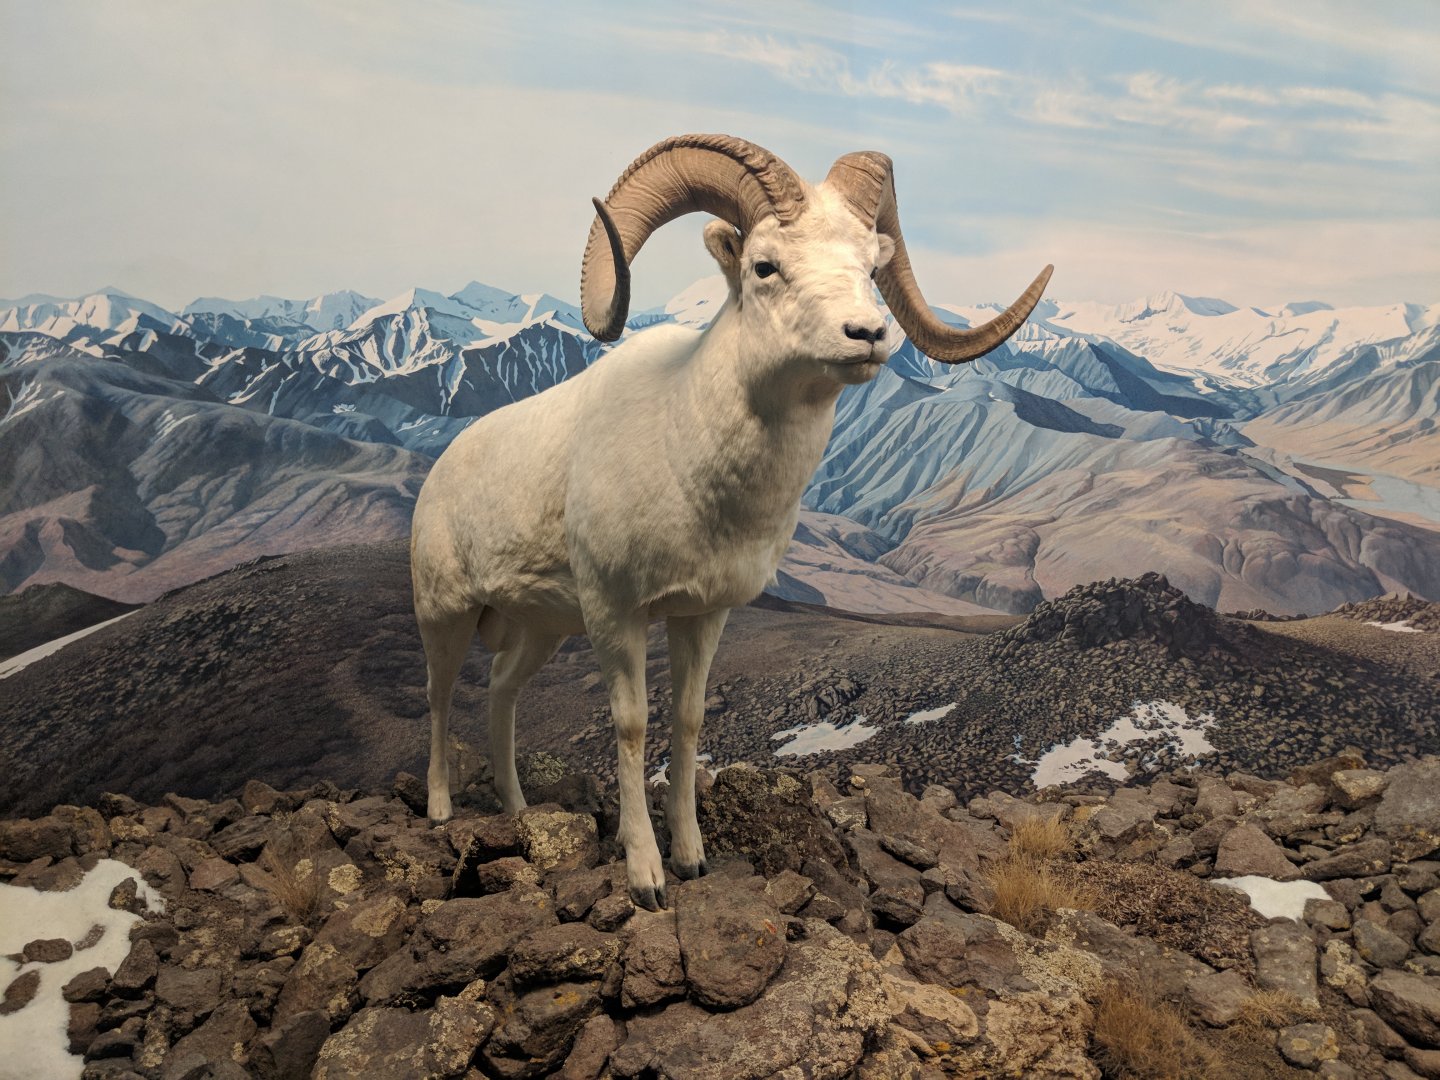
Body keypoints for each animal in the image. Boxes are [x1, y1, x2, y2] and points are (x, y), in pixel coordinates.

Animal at [410, 134, 1052, 909]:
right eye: (765, 265)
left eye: (871, 265)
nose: (869, 334)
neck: (684, 451)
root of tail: (443, 467)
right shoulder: (615, 614)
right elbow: (632, 726)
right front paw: (646, 878)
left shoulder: (702, 615)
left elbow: (687, 723)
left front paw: (690, 859)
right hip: (445, 615)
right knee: (441, 697)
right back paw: (441, 810)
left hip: (540, 631)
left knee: (501, 693)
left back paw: (516, 809)